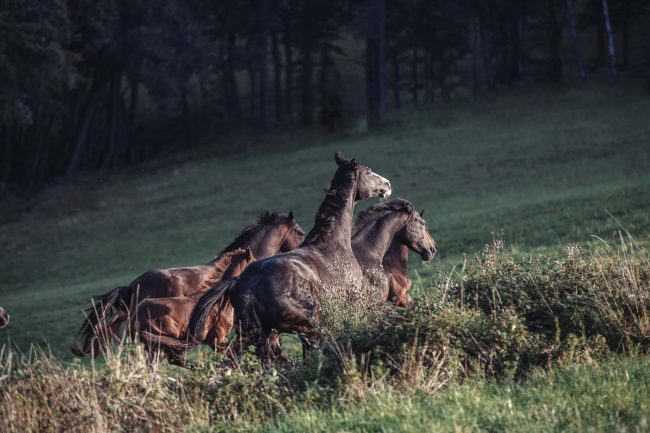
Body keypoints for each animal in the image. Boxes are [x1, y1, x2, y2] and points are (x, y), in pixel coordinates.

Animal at [186, 152, 391, 367]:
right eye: (368, 171)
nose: (387, 185)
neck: (333, 242)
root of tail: (244, 285)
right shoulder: (353, 306)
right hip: (307, 324)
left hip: (254, 333)